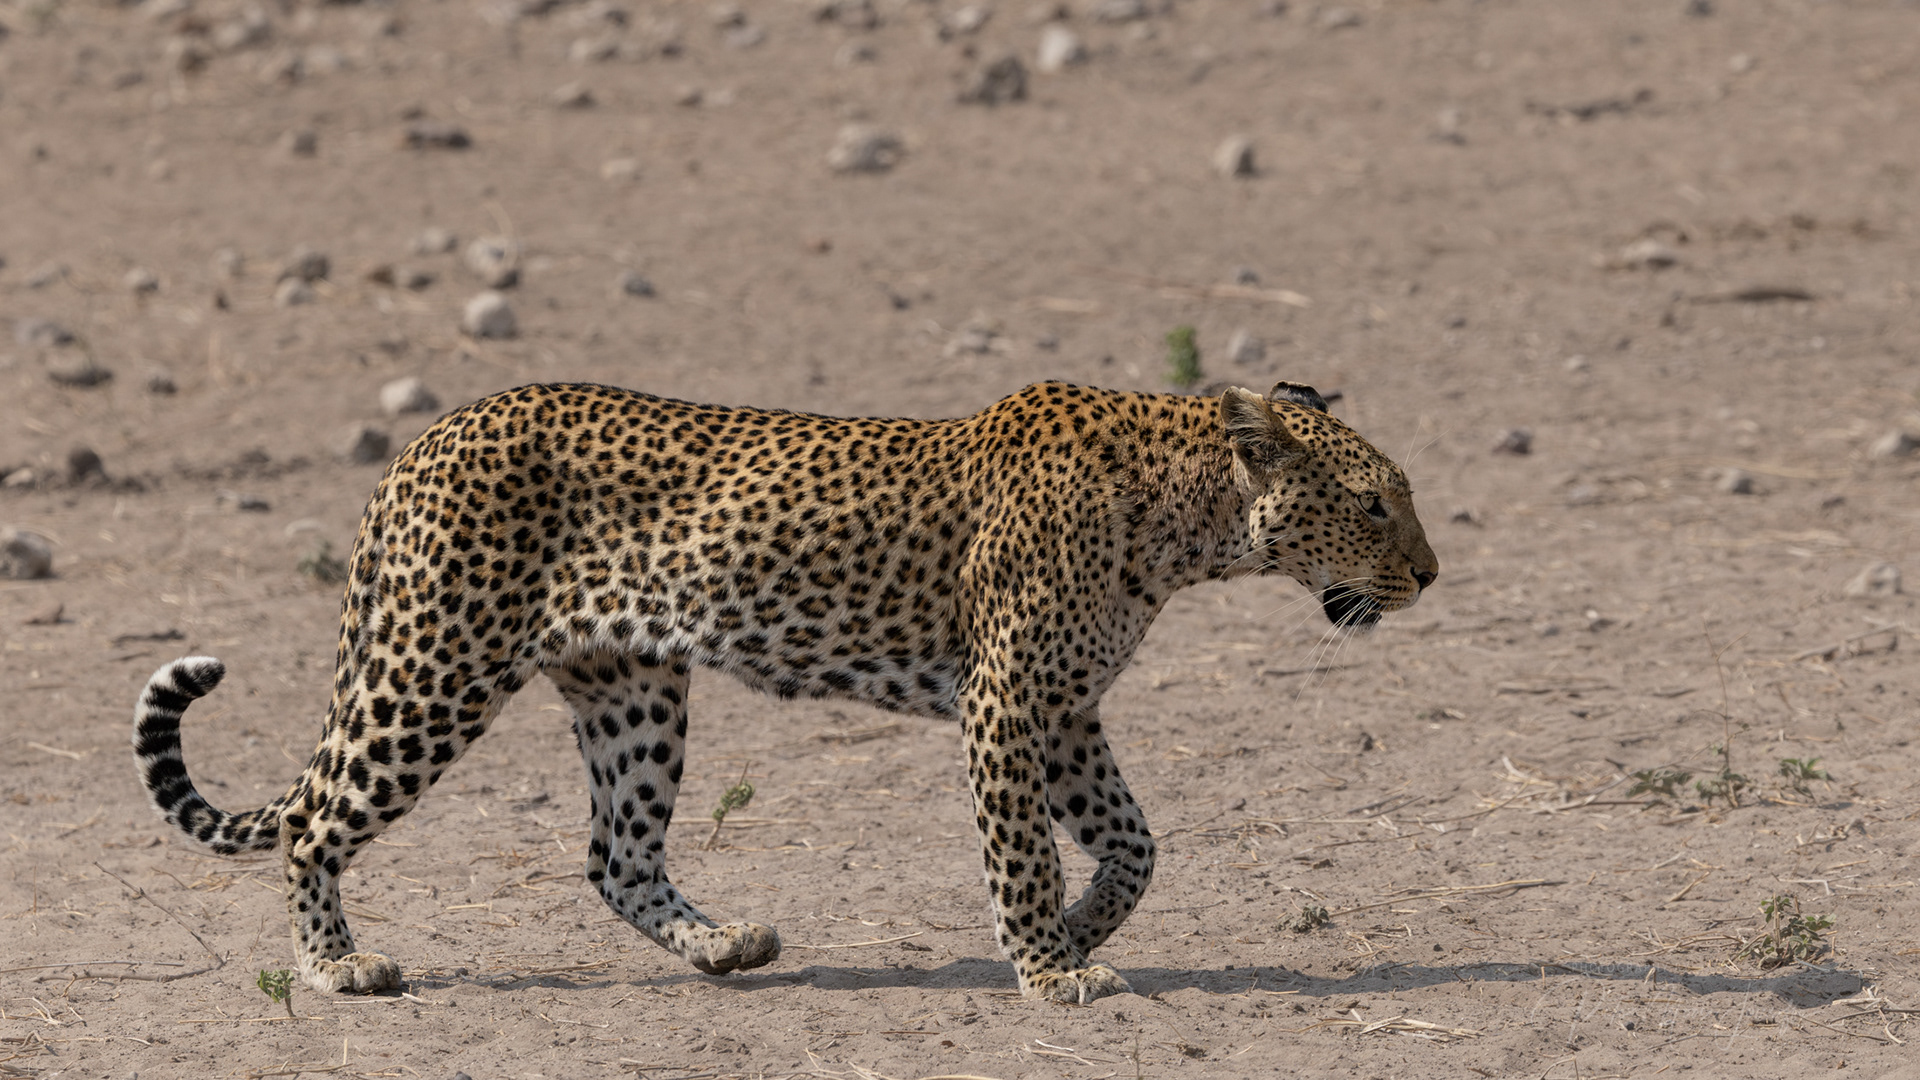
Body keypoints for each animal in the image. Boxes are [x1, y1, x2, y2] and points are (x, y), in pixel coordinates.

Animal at [133, 379, 1436, 1004]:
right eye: (1377, 504)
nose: (1429, 573)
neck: (1189, 523)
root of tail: (421, 444)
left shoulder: (1068, 707)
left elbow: (1135, 843)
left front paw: (1075, 934)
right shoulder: (1010, 701)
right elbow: (1024, 850)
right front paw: (1050, 968)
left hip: (632, 689)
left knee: (616, 853)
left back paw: (722, 946)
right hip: (434, 668)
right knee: (312, 819)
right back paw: (336, 968)